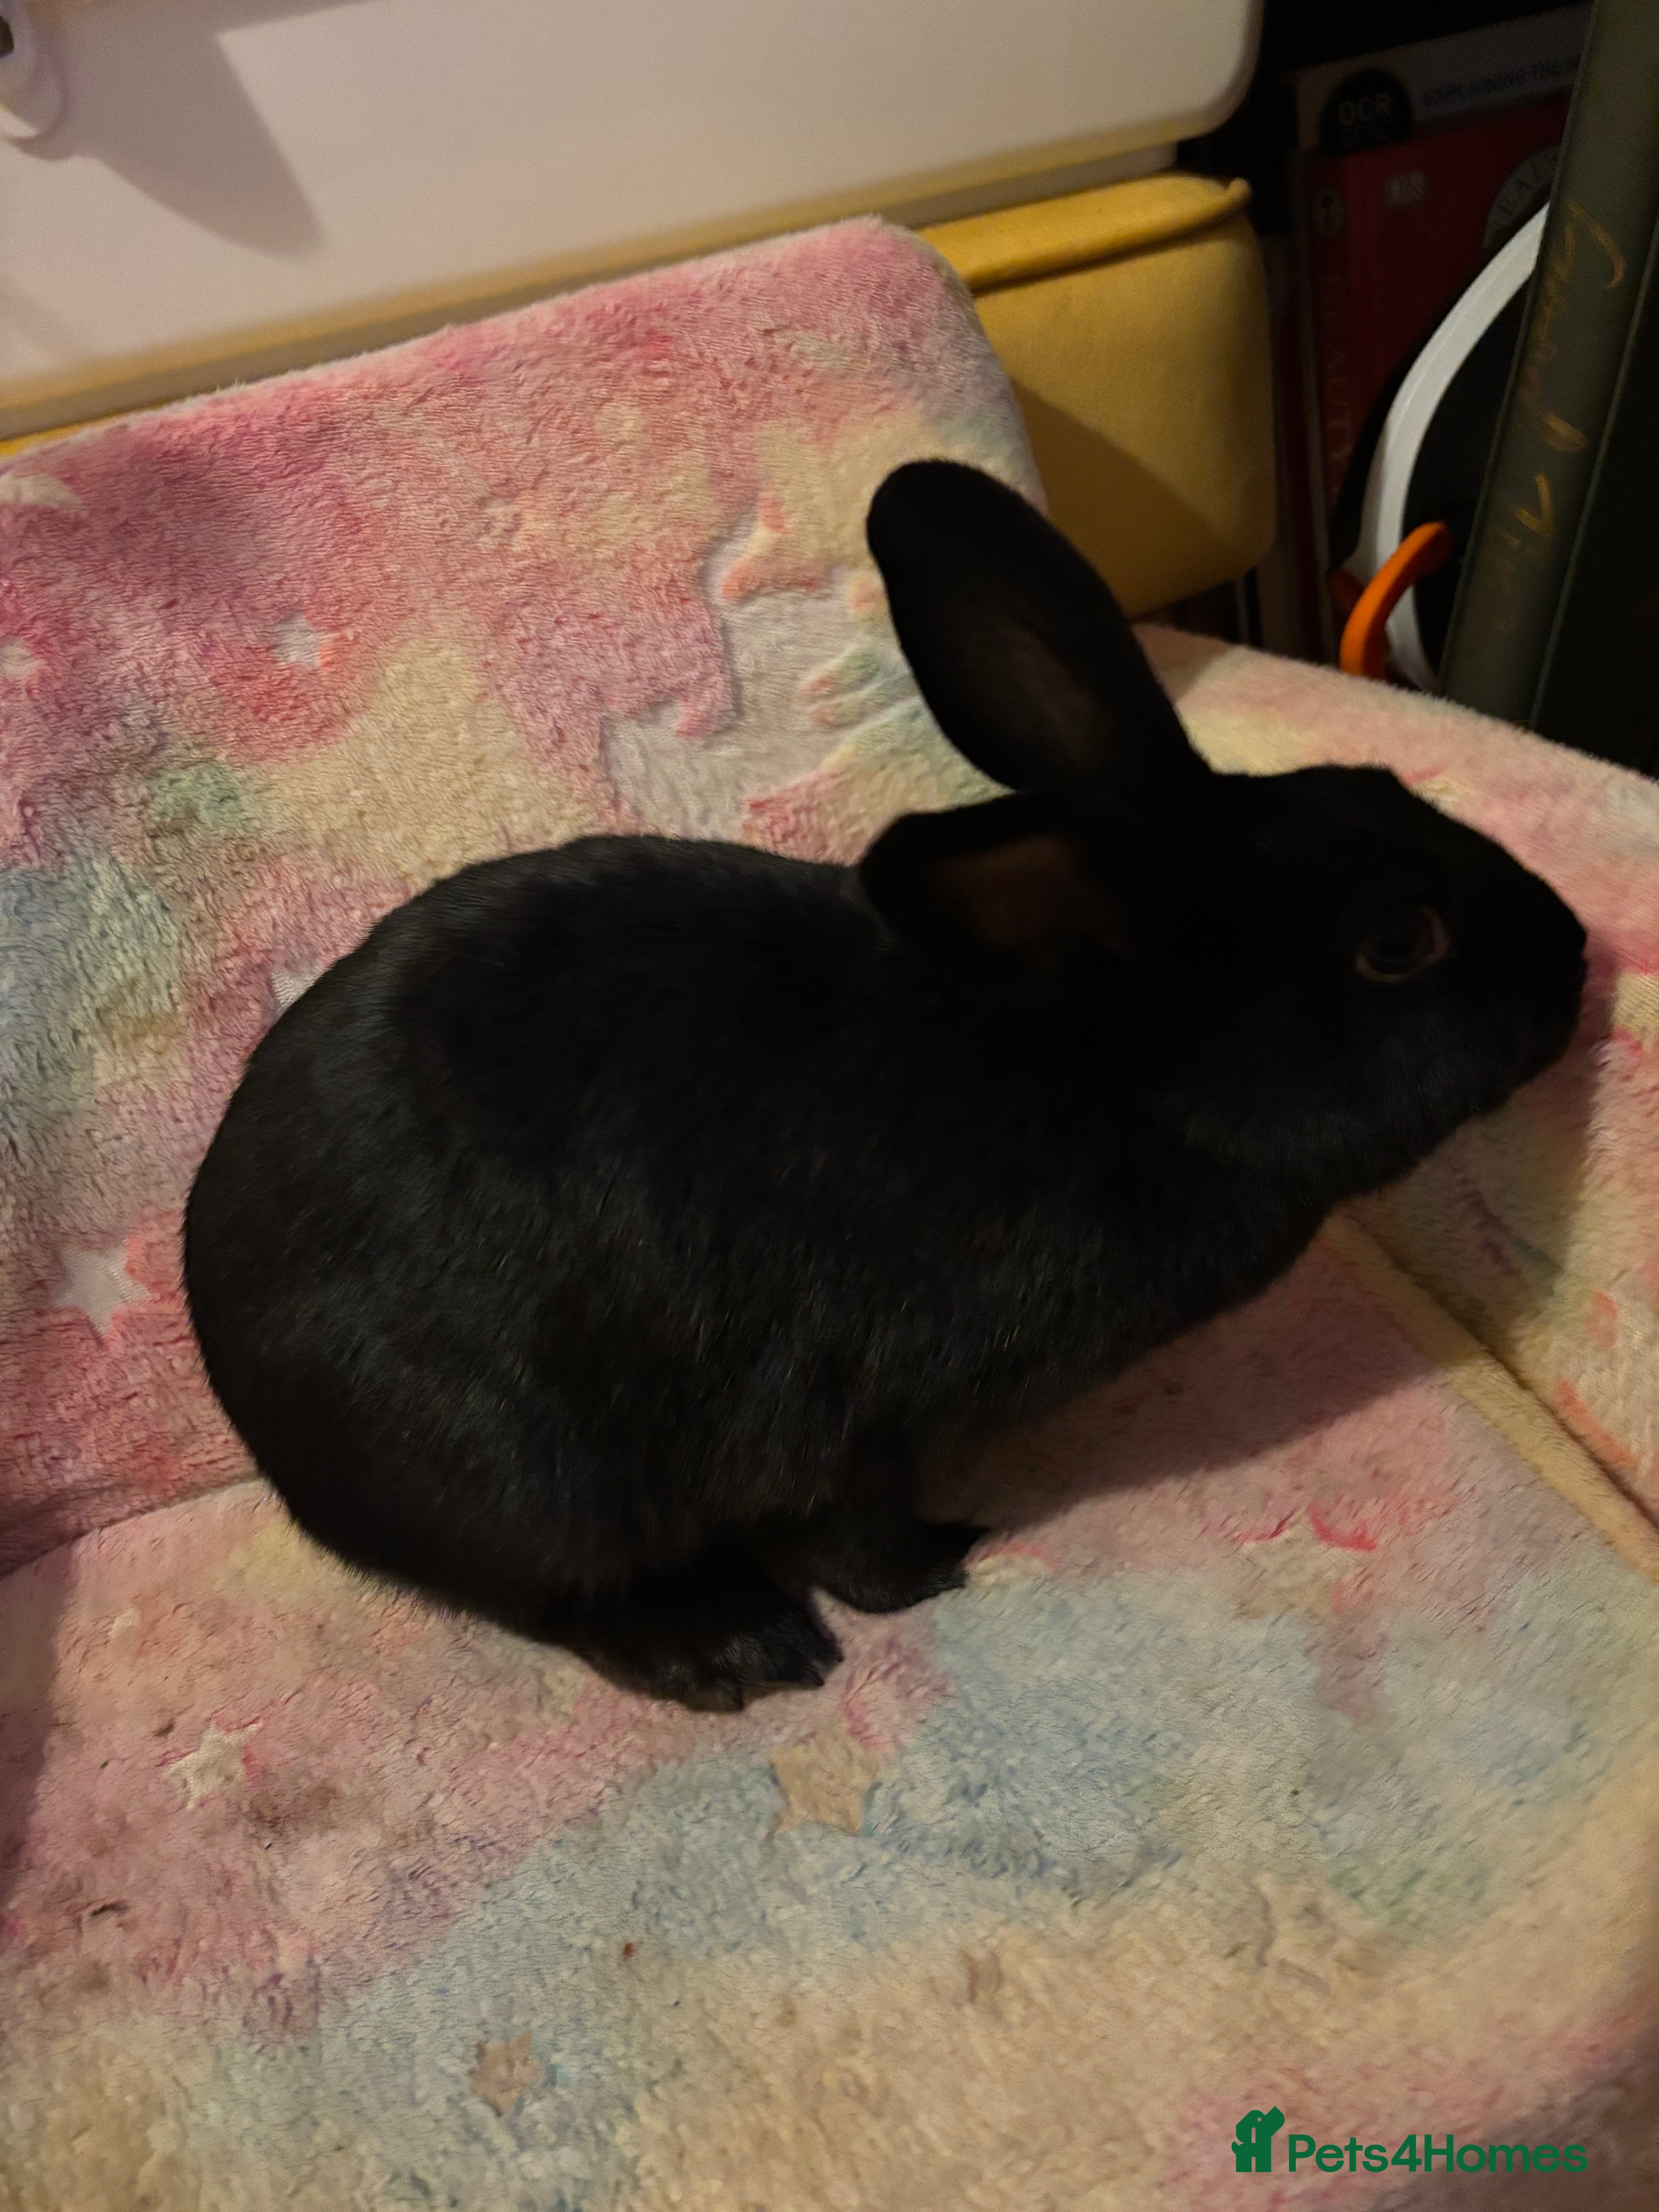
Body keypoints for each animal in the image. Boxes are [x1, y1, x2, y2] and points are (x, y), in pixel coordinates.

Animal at [184, 460, 1586, 1709]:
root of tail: (256, 1415)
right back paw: (736, 1650)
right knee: (570, 1599)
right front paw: (951, 1560)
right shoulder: (848, 1424)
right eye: (1398, 944)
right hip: (517, 1474)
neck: (1104, 1081)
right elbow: (855, 1545)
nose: (1575, 948)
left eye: (1386, 784)